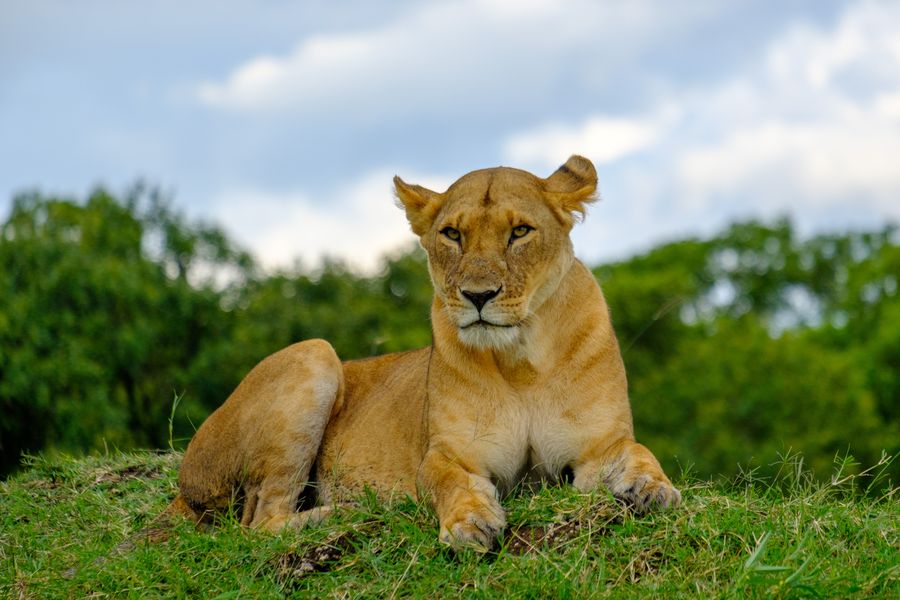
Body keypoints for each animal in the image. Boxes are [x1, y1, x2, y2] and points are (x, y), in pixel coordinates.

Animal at [172, 155, 680, 550]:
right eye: (452, 234)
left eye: (520, 231)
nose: (478, 295)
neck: (521, 361)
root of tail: (182, 481)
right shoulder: (449, 453)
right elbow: (448, 480)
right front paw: (469, 523)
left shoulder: (598, 446)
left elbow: (638, 452)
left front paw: (653, 489)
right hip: (313, 355)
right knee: (260, 522)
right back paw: (348, 512)